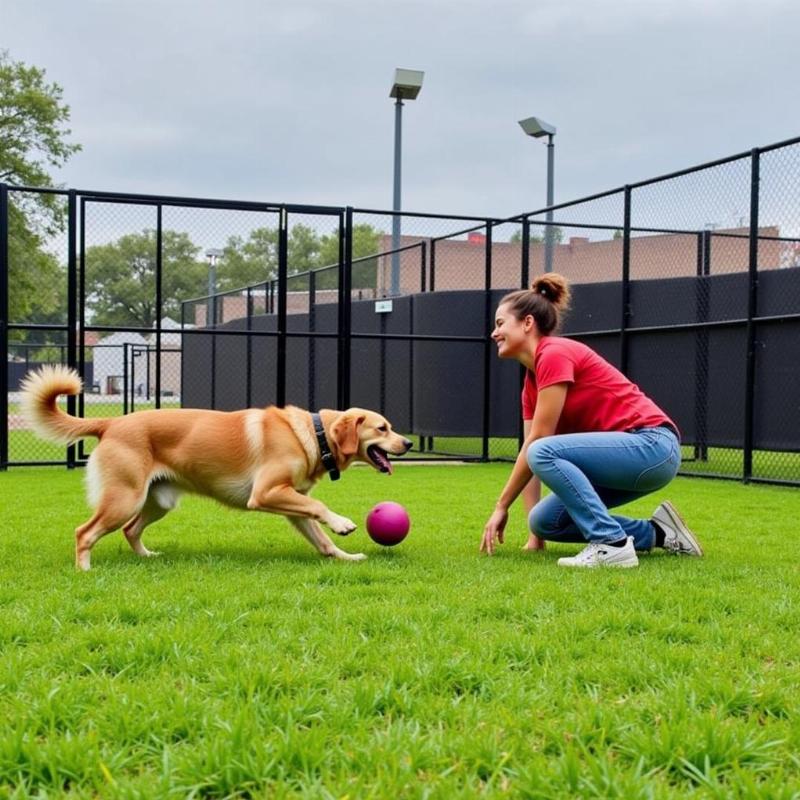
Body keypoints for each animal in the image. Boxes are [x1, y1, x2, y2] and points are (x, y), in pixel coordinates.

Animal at [21, 366, 412, 572]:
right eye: (383, 428)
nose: (408, 443)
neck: (313, 434)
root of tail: (111, 423)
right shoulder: (267, 493)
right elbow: (319, 508)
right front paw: (343, 523)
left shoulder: (291, 504)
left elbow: (321, 538)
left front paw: (346, 556)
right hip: (124, 499)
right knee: (84, 532)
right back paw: (85, 570)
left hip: (156, 502)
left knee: (131, 531)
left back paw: (147, 557)